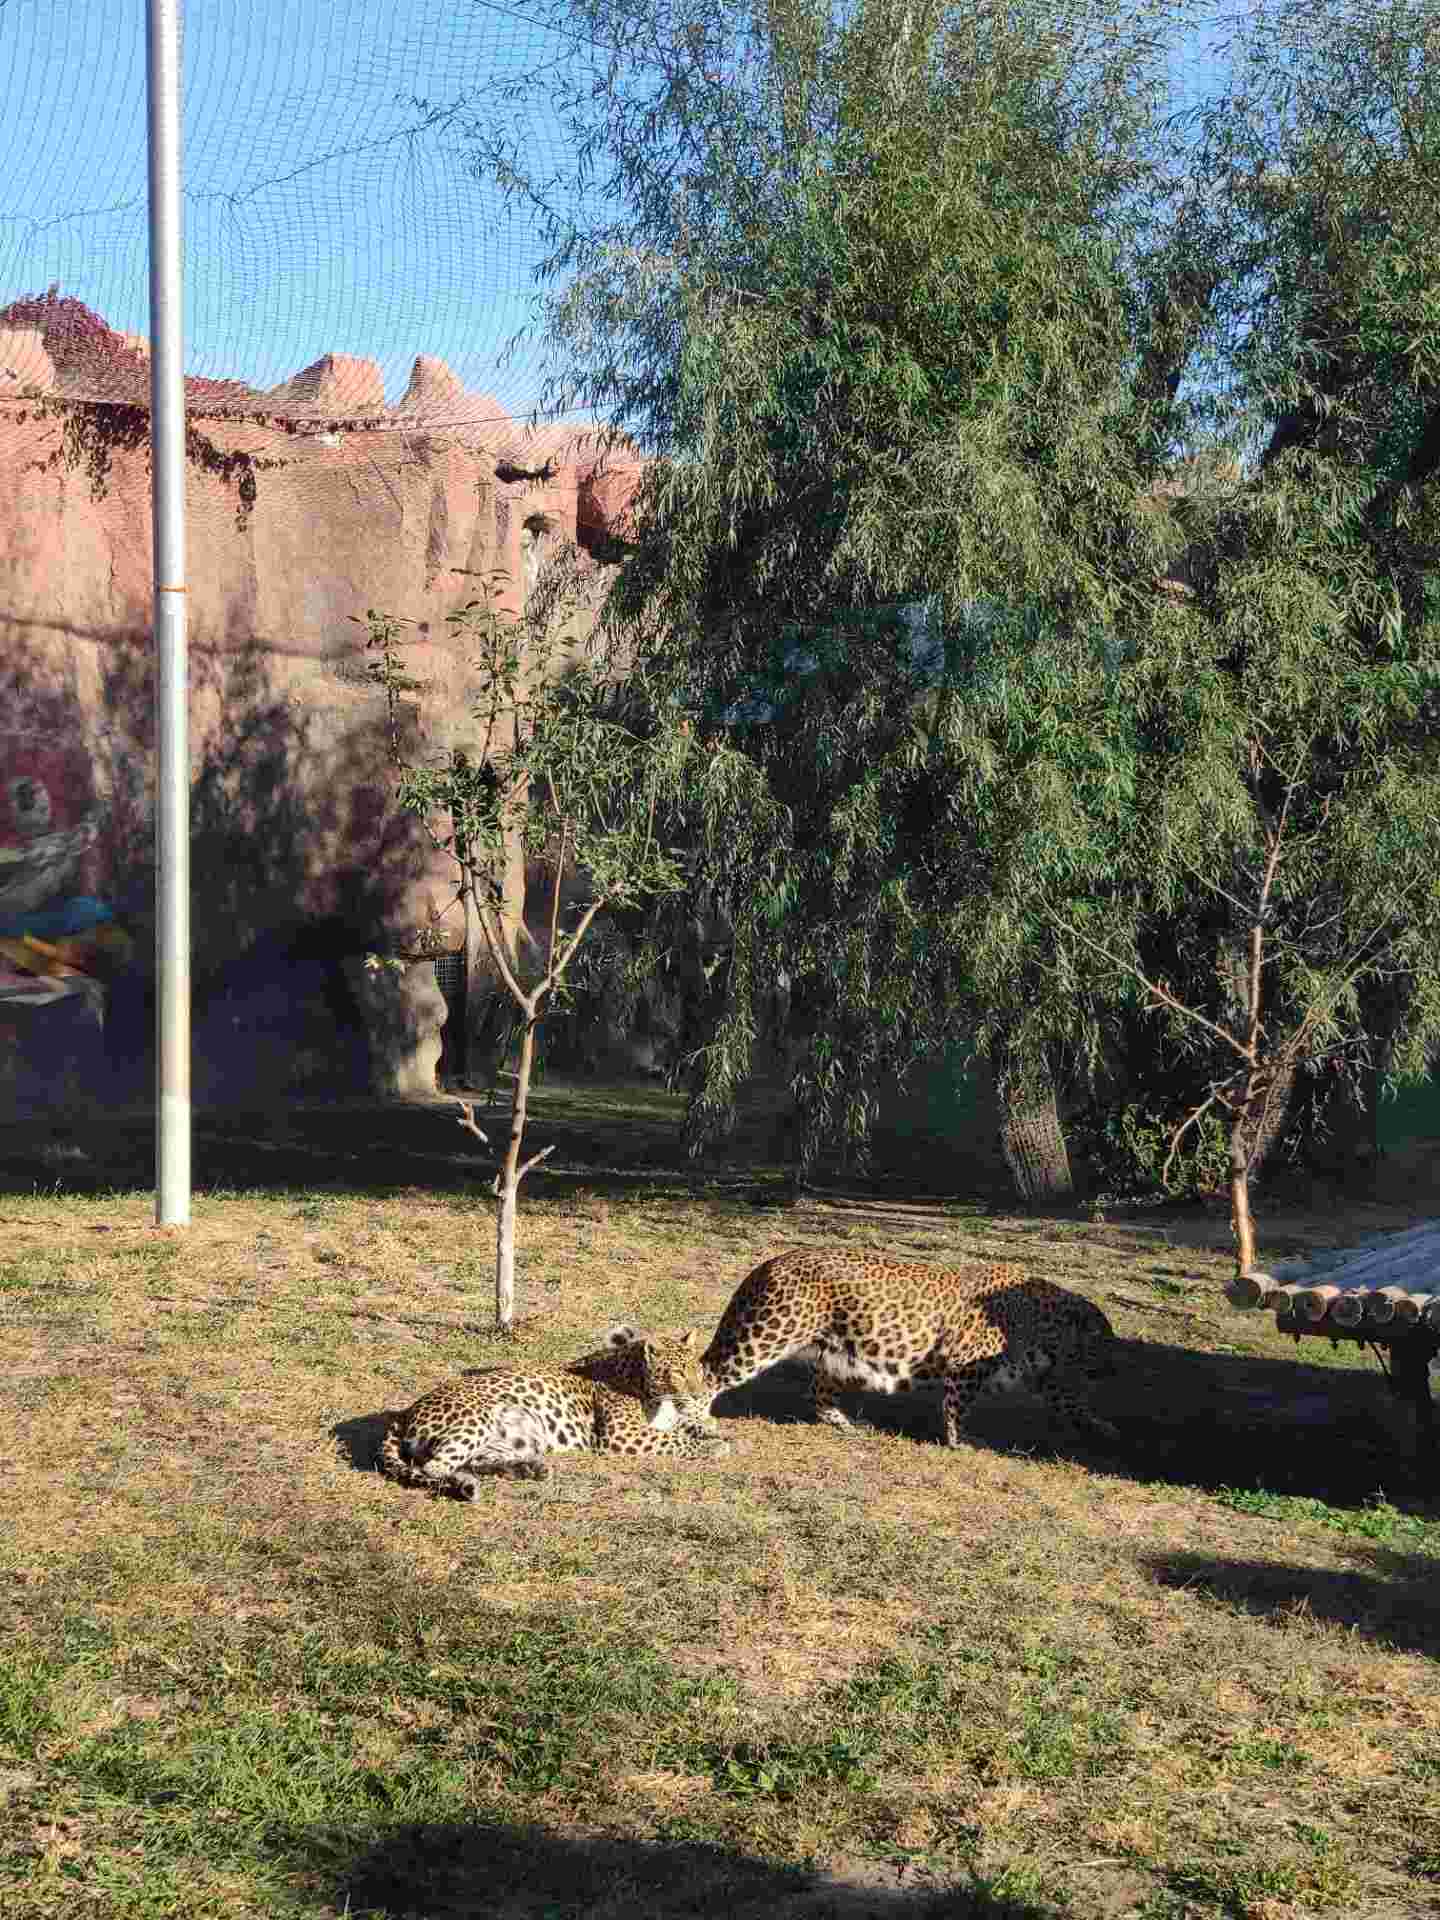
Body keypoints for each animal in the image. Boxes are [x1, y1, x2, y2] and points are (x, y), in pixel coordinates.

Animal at [380, 1320, 733, 1497]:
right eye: (677, 1373)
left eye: (696, 1369)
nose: (699, 1393)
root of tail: (405, 1412)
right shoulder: (623, 1435)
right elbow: (674, 1440)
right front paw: (714, 1447)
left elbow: (684, 1427)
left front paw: (710, 1430)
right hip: (475, 1420)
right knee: (434, 1467)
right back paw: (466, 1485)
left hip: (515, 1437)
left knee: (475, 1460)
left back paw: (527, 1469)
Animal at [695, 1251, 1121, 1443]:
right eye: (1103, 1342)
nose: (1114, 1366)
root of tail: (770, 1262)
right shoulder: (967, 1365)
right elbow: (957, 1407)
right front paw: (961, 1443)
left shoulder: (1050, 1378)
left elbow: (1074, 1404)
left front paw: (1104, 1428)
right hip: (766, 1335)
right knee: (709, 1373)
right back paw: (698, 1421)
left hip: (835, 1355)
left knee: (818, 1393)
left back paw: (846, 1424)